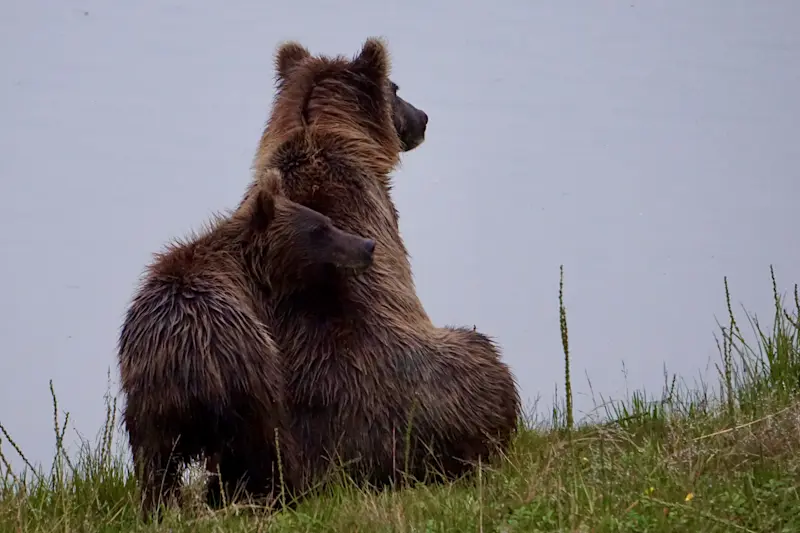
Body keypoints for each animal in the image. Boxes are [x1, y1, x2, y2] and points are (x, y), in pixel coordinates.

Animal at [117, 168, 376, 521]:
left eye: (327, 222)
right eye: (320, 229)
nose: (367, 245)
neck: (249, 272)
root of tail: (196, 365)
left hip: (151, 400)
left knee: (156, 465)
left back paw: (159, 509)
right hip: (249, 378)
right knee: (270, 442)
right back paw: (290, 494)